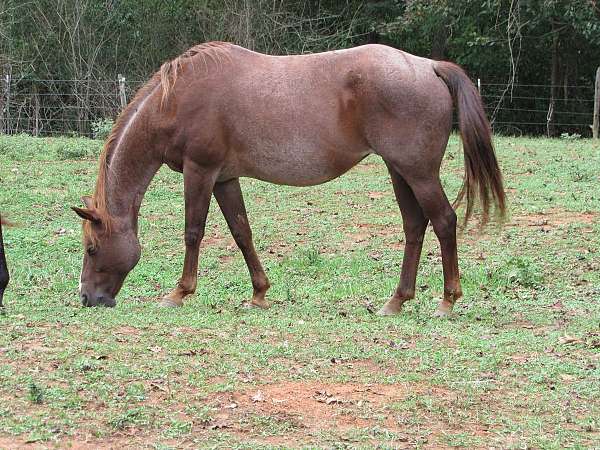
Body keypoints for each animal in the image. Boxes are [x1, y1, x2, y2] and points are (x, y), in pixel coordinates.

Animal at [72, 43, 504, 316]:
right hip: (400, 170)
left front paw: (179, 292)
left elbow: (194, 232)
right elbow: (241, 232)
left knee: (444, 221)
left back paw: (447, 301)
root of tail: (429, 66)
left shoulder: (200, 171)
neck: (175, 100)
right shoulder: (224, 179)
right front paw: (260, 293)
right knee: (415, 225)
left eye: (92, 249)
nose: (88, 298)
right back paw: (396, 301)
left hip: (418, 172)